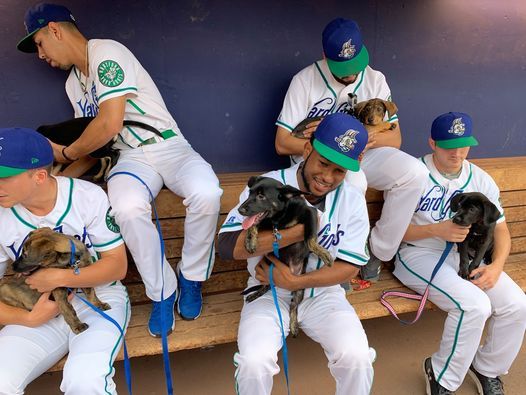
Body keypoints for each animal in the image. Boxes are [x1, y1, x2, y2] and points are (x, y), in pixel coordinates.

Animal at [240, 176, 334, 338]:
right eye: (250, 193)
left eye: (261, 196)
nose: (240, 210)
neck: (280, 217)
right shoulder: (267, 223)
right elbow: (253, 224)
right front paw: (250, 240)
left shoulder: (310, 213)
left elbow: (309, 239)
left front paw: (322, 252)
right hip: (268, 267)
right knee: (266, 286)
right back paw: (255, 294)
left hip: (299, 289)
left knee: (293, 306)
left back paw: (294, 325)